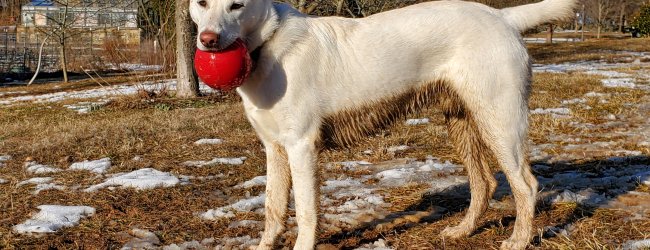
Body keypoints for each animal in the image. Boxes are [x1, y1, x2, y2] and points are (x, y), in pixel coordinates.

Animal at [190, 0, 576, 249]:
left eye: (237, 5)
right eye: (202, 2)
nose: (208, 40)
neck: (267, 44)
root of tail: (502, 15)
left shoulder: (301, 147)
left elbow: (305, 211)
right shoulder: (274, 149)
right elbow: (272, 207)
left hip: (500, 122)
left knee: (525, 185)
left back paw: (518, 241)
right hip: (462, 122)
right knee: (484, 183)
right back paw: (461, 232)